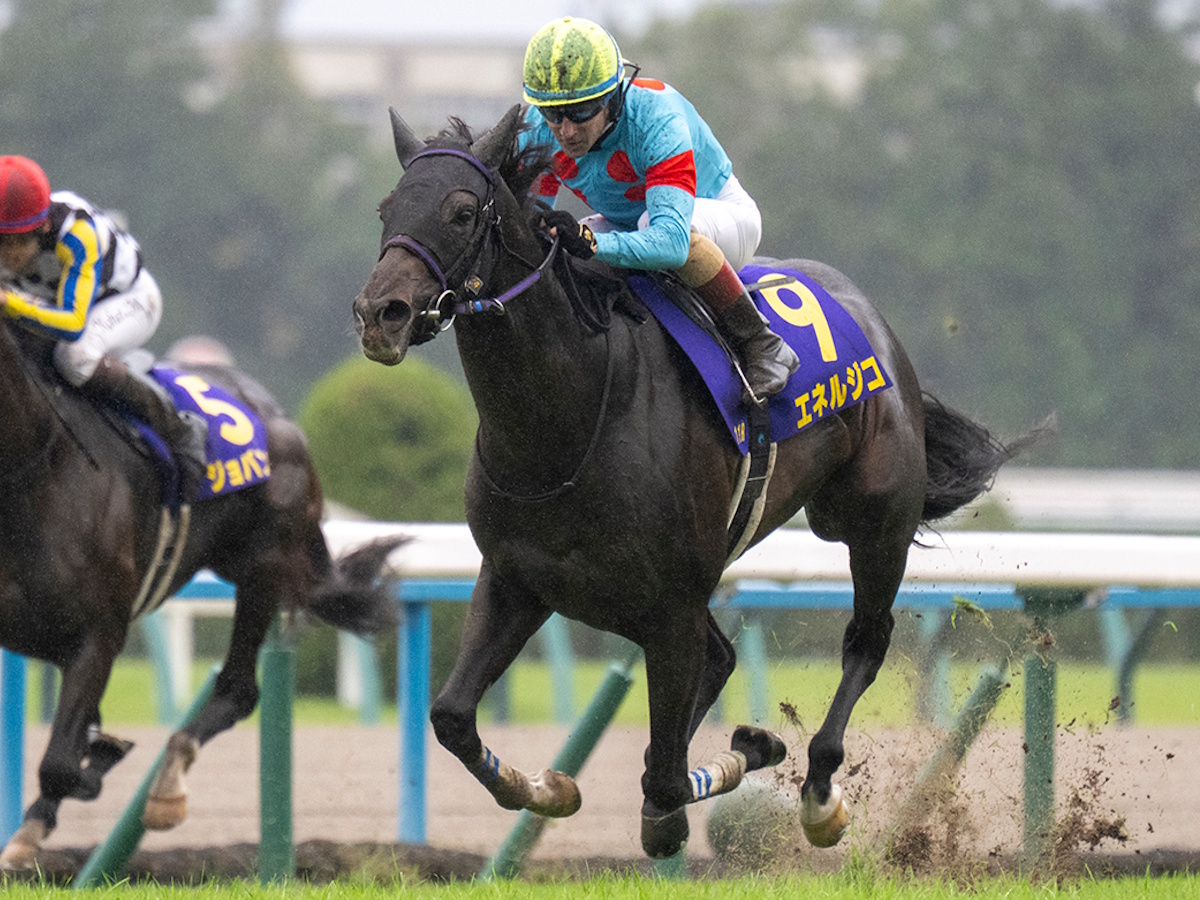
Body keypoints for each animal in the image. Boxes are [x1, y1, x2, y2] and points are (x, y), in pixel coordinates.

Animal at [0, 317, 401, 869]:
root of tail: (277, 414)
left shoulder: (98, 636)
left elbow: (61, 762)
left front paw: (88, 772)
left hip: (263, 567)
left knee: (238, 689)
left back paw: (166, 786)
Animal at [352, 105, 1034, 859]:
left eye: (463, 211)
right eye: (387, 208)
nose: (379, 313)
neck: (567, 427)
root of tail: (869, 313)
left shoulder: (671, 605)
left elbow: (668, 787)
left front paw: (748, 755)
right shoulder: (517, 579)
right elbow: (452, 716)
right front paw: (547, 788)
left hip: (873, 521)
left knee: (865, 639)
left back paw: (820, 794)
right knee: (721, 662)